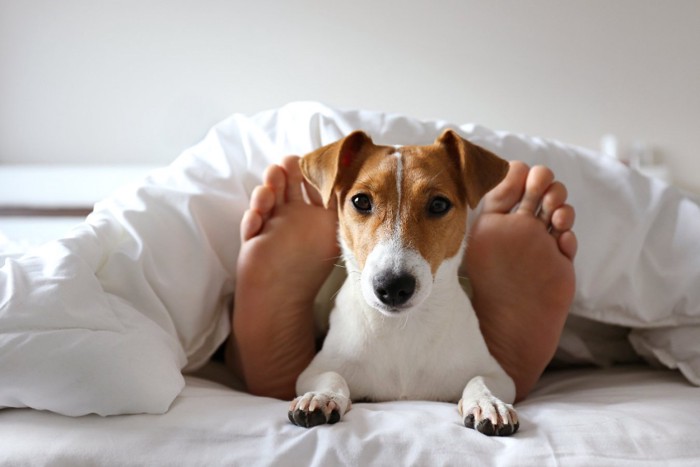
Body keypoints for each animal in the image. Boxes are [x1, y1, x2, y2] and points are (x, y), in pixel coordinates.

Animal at [286, 130, 520, 436]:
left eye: (438, 204)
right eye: (361, 201)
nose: (393, 286)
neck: (402, 328)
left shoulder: (500, 376)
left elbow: (478, 380)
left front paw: (488, 402)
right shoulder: (312, 371)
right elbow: (332, 376)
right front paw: (321, 397)